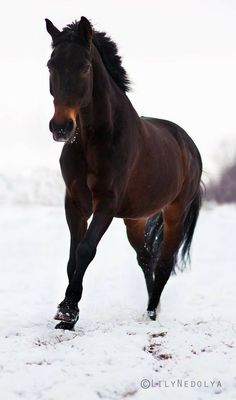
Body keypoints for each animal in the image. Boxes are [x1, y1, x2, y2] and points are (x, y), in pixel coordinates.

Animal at [46, 16, 203, 328]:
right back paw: (150, 308)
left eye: (85, 67)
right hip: (135, 219)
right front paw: (67, 316)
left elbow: (85, 249)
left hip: (175, 213)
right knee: (146, 259)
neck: (95, 139)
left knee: (164, 263)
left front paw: (68, 310)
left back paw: (152, 312)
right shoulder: (75, 203)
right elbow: (72, 257)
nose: (61, 128)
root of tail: (188, 144)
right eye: (50, 65)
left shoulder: (106, 203)